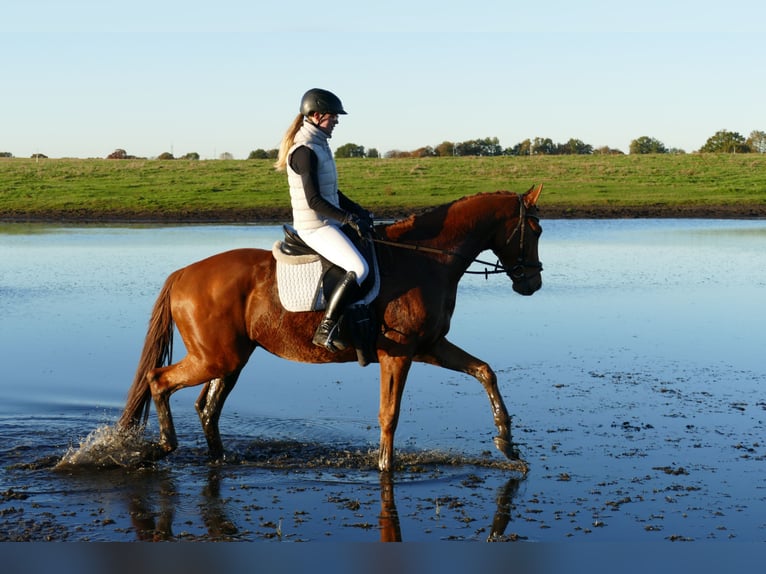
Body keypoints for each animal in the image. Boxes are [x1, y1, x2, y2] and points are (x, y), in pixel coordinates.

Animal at [118, 184, 543, 472]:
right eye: (535, 232)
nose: (533, 284)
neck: (426, 259)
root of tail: (183, 273)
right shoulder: (399, 353)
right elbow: (389, 414)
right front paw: (385, 467)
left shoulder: (430, 346)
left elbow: (485, 371)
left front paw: (506, 441)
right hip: (215, 358)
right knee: (159, 380)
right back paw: (165, 445)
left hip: (230, 359)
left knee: (207, 407)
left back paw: (219, 458)